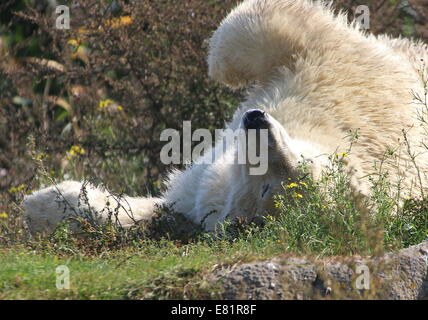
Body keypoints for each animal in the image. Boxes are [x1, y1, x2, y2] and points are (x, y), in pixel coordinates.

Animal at [23, 0, 428, 235]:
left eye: (274, 184)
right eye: (308, 163)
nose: (256, 121)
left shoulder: (359, 92)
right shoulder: (322, 80)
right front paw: (45, 202)